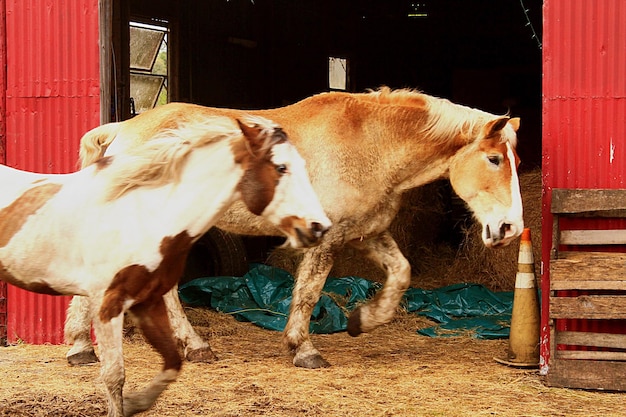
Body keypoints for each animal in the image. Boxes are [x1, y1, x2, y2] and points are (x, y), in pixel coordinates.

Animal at [0, 114, 330, 416]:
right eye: (281, 167)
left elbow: (172, 364)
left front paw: (138, 402)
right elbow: (114, 377)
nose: (319, 226)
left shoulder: (148, 302)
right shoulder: (109, 304)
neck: (144, 213)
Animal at [64, 86, 520, 368]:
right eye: (494, 159)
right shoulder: (326, 236)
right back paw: (187, 345)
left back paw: (85, 347)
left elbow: (402, 273)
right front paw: (304, 349)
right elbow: (308, 292)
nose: (509, 228)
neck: (369, 143)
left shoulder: (367, 231)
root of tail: (121, 131)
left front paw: (365, 320)